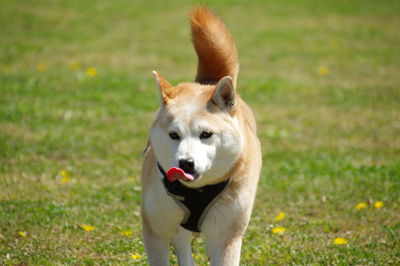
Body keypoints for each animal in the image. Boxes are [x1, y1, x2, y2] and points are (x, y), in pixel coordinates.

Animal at [141, 6, 262, 266]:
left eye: (206, 134)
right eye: (173, 135)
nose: (185, 163)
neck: (196, 190)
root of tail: (208, 82)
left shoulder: (227, 235)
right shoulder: (156, 229)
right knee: (182, 241)